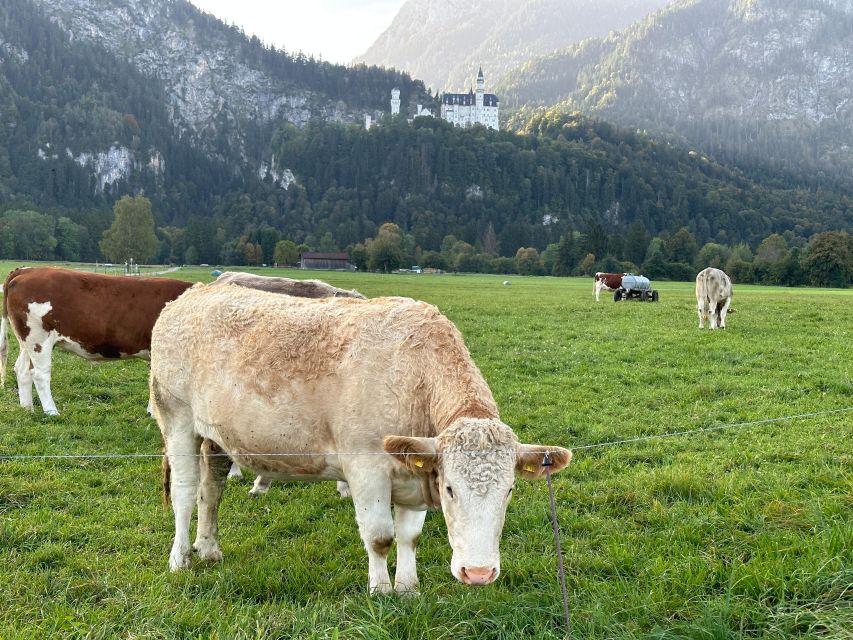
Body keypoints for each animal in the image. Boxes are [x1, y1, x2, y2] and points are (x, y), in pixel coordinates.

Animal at [0, 264, 192, 416]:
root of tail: (27, 270)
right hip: (38, 339)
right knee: (39, 374)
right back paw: (51, 412)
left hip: (27, 341)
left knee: (22, 369)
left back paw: (27, 409)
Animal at [151, 284, 572, 596]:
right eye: (450, 488)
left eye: (509, 490)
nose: (479, 573)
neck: (413, 378)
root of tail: (192, 294)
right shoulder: (366, 467)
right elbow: (380, 537)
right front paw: (381, 590)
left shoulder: (413, 472)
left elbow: (410, 537)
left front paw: (408, 588)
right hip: (177, 417)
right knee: (185, 492)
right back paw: (179, 558)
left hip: (218, 439)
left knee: (211, 490)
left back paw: (208, 547)